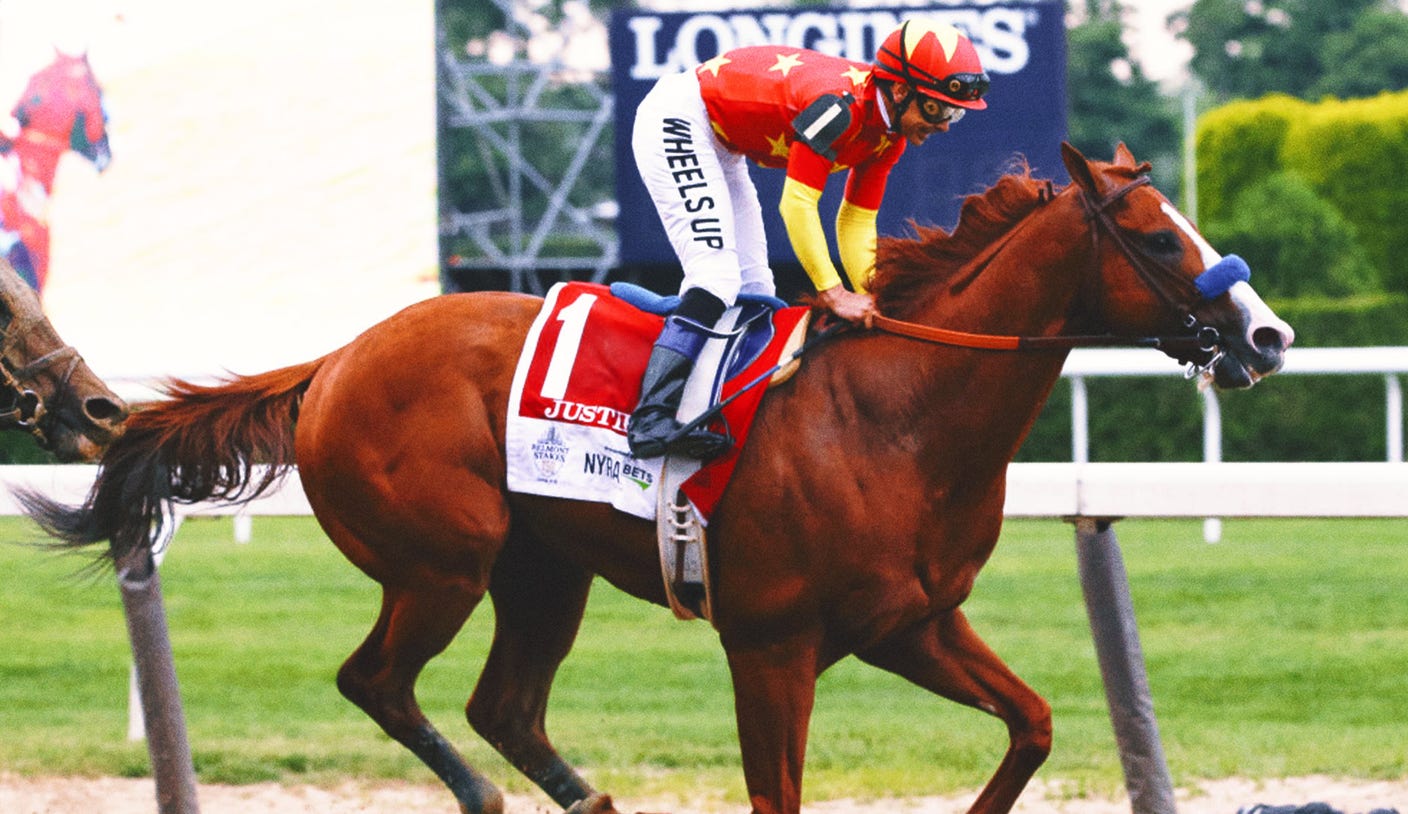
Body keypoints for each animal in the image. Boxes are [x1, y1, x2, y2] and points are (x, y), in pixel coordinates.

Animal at [21, 143, 1293, 814]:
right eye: (1159, 236)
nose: (1269, 334)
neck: (892, 419)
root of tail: (334, 360)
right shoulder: (772, 642)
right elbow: (778, 793)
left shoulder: (911, 622)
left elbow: (1029, 723)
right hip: (443, 561)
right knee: (379, 682)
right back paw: (486, 797)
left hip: (543, 572)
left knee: (501, 705)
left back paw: (583, 797)